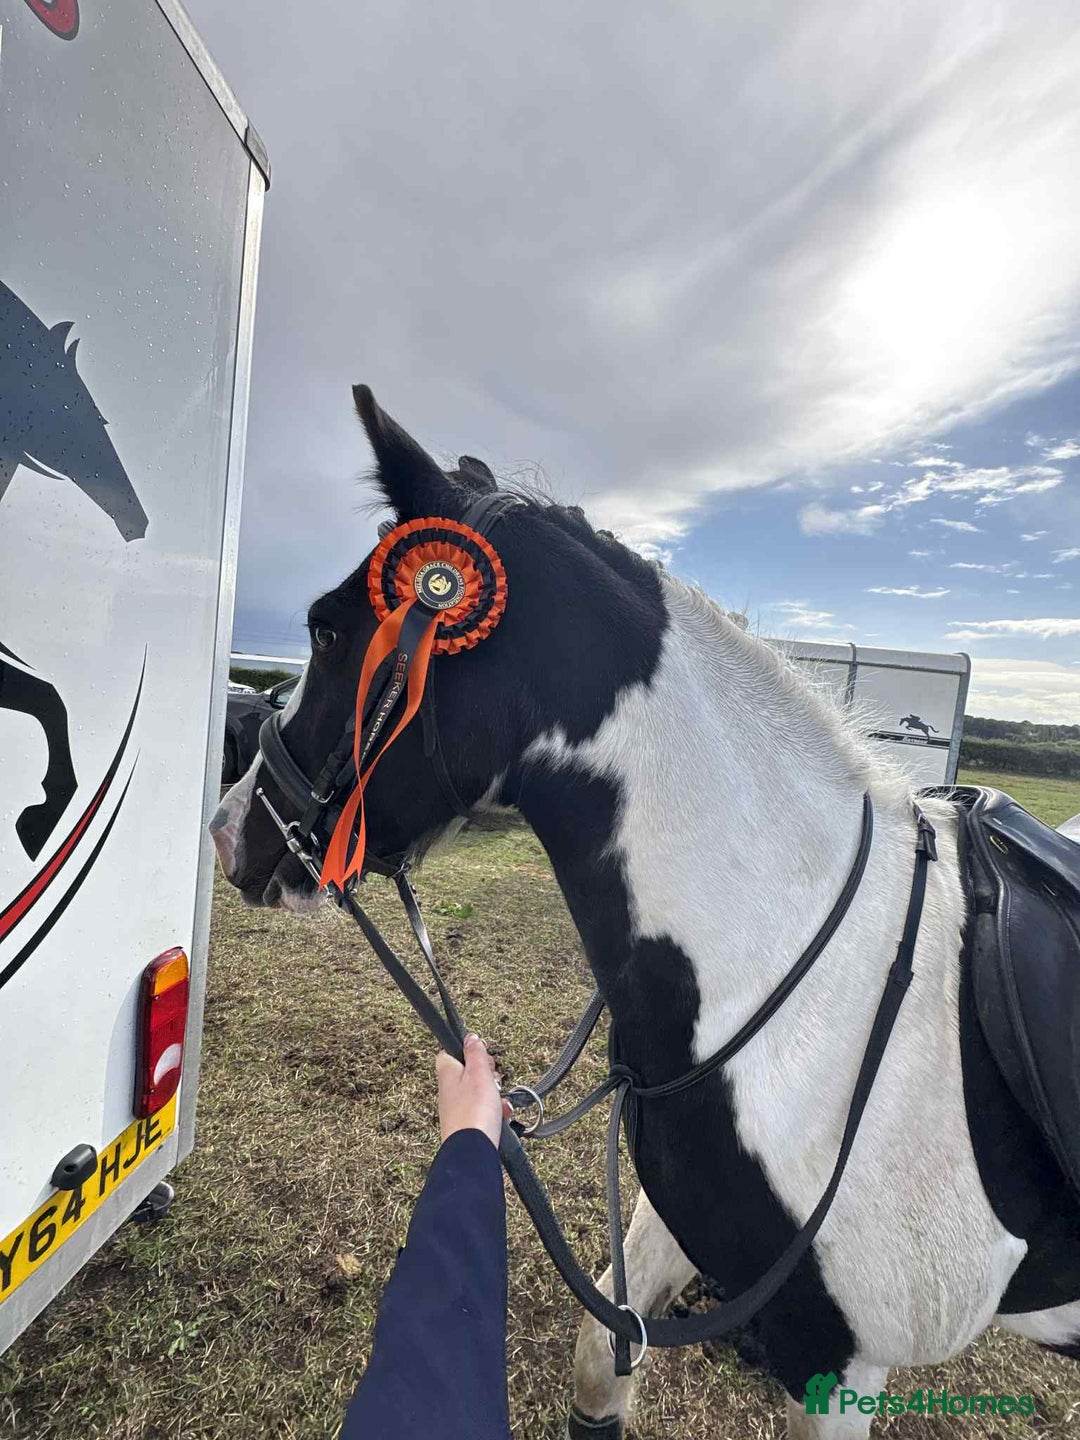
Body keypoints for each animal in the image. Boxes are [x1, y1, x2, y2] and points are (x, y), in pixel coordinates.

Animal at [211, 387, 1080, 1438]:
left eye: (329, 630)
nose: (230, 829)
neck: (808, 998)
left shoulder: (843, 1361)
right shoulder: (676, 1227)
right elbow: (600, 1365)